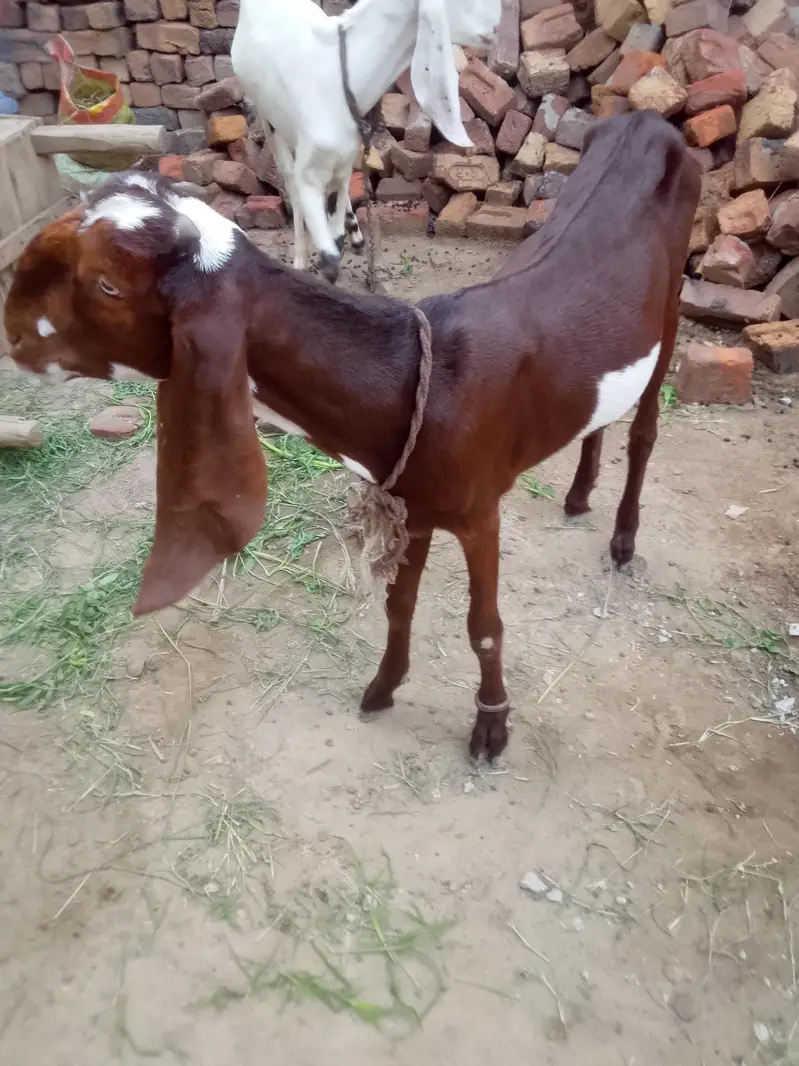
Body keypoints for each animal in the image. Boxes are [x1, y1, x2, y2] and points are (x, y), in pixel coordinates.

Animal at [4, 112, 700, 761]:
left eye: (108, 284)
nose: (13, 336)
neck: (421, 383)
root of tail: (646, 120)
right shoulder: (415, 504)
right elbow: (398, 603)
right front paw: (382, 691)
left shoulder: (480, 511)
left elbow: (483, 625)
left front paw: (491, 729)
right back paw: (579, 496)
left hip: (669, 309)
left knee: (645, 428)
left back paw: (622, 541)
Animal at [230, 0, 501, 282]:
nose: (496, 27)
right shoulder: (310, 174)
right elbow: (328, 259)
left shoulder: (342, 160)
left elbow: (336, 238)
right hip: (268, 119)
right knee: (289, 178)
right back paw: (301, 258)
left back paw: (356, 234)